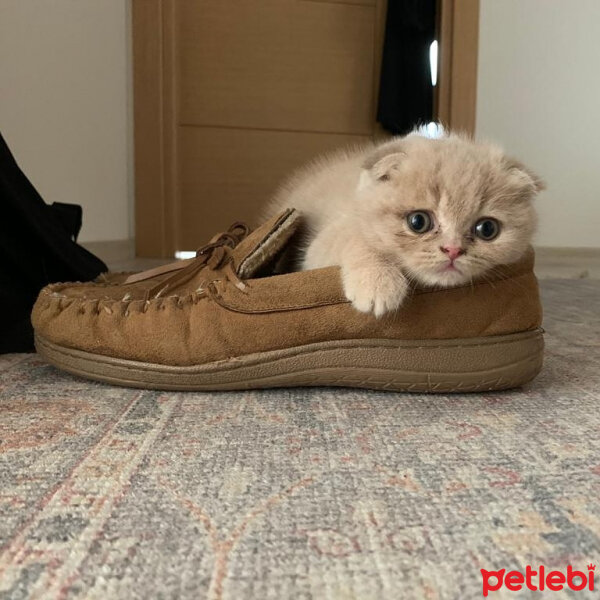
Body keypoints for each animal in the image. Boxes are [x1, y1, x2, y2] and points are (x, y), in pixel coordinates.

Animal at [268, 130, 544, 318]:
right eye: (418, 222)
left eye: (487, 229)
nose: (453, 250)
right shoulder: (319, 246)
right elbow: (356, 238)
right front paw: (378, 282)